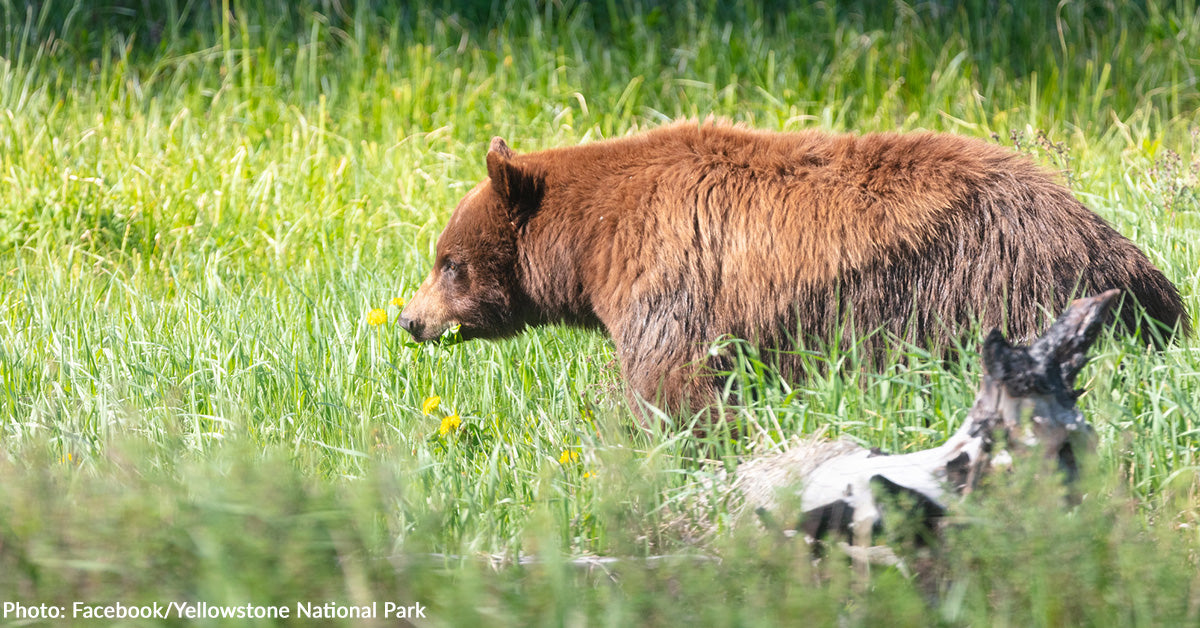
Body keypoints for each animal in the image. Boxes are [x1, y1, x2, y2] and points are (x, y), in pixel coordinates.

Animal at [399, 120, 1188, 424]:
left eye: (448, 262)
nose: (409, 319)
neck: (596, 244)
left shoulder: (672, 280)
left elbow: (671, 379)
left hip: (983, 284)